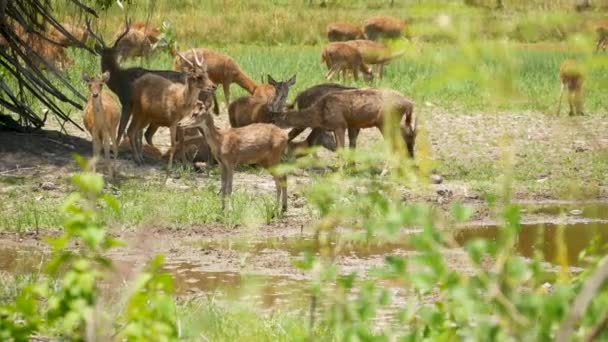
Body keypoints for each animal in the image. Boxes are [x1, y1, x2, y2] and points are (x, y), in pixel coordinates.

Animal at [270, 88, 418, 158]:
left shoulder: (339, 124)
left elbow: (341, 149)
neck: (320, 113)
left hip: (387, 121)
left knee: (398, 145)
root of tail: (409, 103)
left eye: (274, 120)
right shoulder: (348, 125)